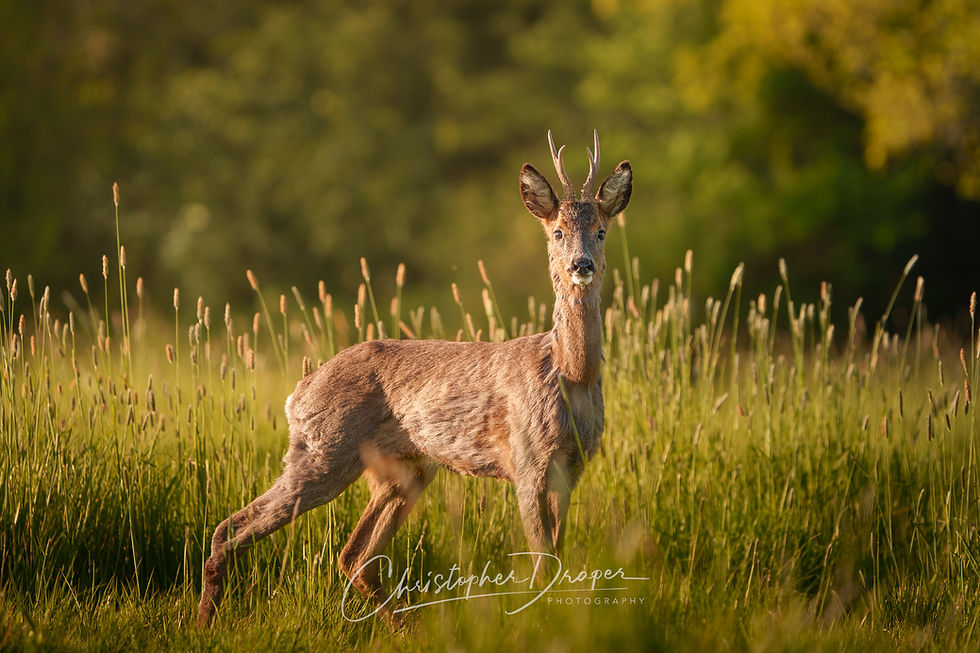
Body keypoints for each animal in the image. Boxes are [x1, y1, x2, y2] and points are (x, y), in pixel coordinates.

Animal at [196, 130, 632, 628]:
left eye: (601, 231)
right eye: (557, 231)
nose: (582, 265)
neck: (570, 374)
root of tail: (300, 389)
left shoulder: (571, 467)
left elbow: (557, 558)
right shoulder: (526, 461)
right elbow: (543, 563)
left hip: (403, 469)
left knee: (354, 557)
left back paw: (407, 627)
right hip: (323, 451)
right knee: (231, 529)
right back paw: (202, 623)